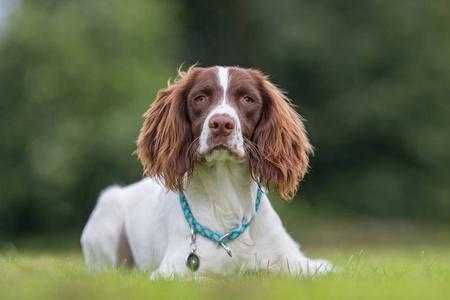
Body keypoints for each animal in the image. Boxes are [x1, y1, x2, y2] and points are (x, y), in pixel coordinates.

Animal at [82, 65, 332, 276]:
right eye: (200, 98)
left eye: (248, 99)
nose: (221, 124)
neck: (227, 198)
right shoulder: (173, 272)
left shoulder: (301, 263)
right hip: (108, 215)